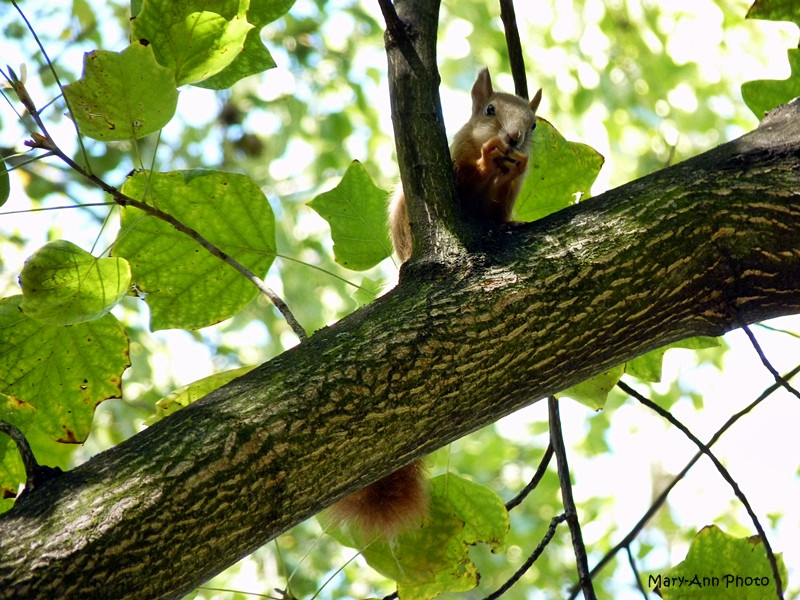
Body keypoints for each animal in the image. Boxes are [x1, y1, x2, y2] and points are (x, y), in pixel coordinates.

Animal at [390, 67, 544, 262]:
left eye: (534, 125)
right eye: (490, 109)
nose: (514, 137)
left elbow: (494, 211)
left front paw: (511, 170)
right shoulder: (460, 151)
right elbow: (464, 184)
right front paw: (486, 160)